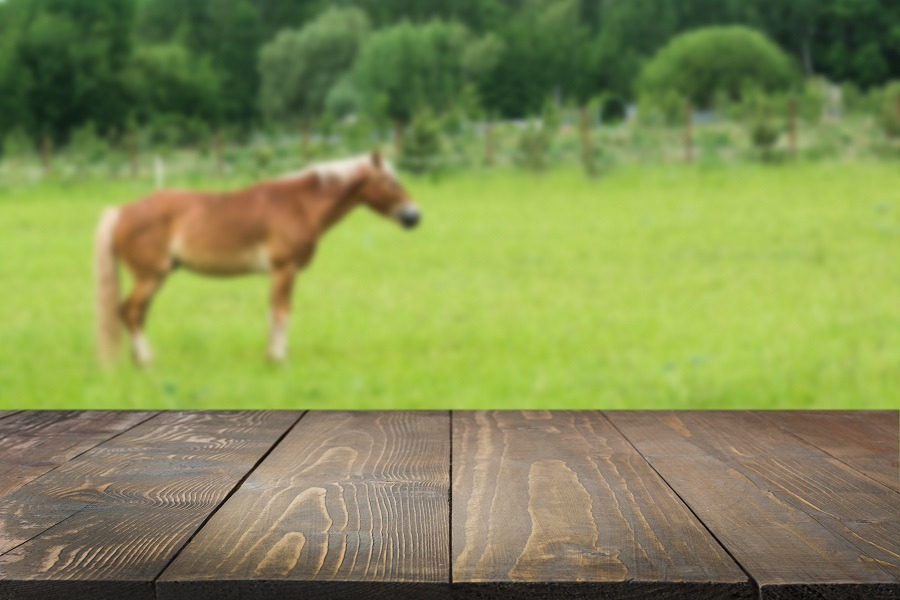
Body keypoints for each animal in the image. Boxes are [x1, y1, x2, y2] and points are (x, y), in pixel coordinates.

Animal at [95, 151, 422, 366]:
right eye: (391, 182)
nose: (414, 217)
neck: (299, 205)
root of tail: (121, 211)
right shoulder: (284, 269)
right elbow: (280, 313)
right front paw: (278, 359)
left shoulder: (282, 273)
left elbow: (276, 312)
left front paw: (273, 356)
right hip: (151, 276)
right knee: (129, 312)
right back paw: (147, 362)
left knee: (136, 314)